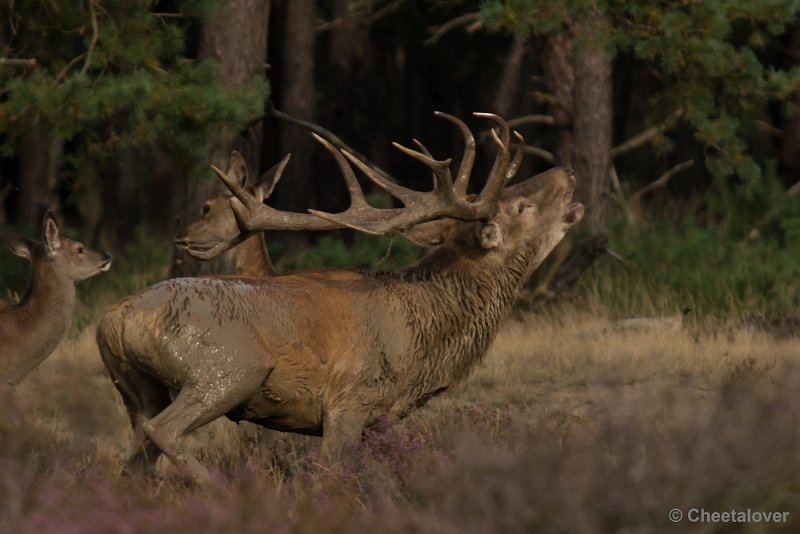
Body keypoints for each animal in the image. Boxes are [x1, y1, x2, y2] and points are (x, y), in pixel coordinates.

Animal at [97, 113, 584, 486]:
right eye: (519, 206)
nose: (567, 172)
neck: (423, 342)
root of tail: (116, 319)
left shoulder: (380, 418)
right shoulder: (349, 400)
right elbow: (328, 479)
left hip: (137, 388)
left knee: (133, 458)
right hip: (227, 368)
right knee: (164, 431)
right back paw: (221, 490)